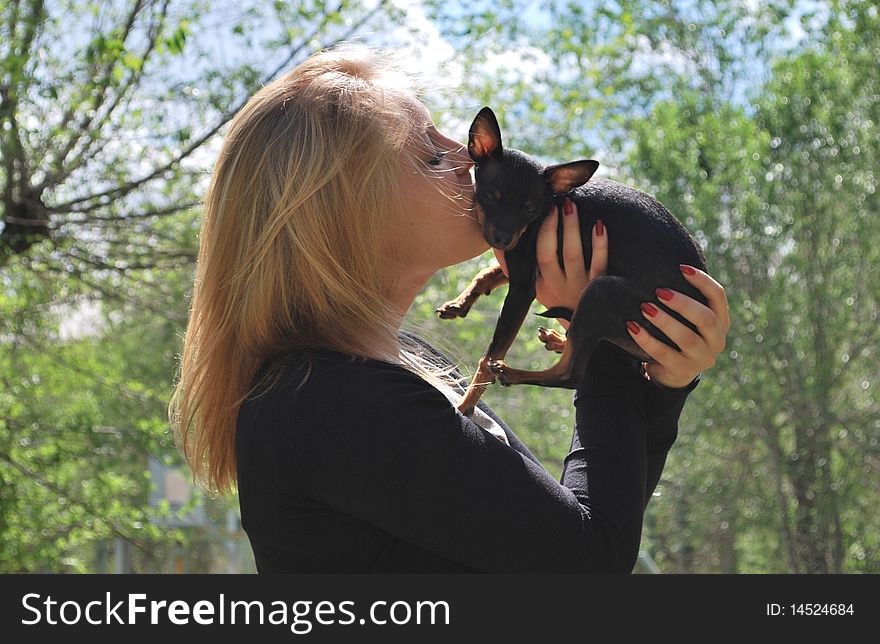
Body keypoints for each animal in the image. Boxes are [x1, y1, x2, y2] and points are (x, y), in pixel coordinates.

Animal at [440, 107, 708, 416]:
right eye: (490, 197)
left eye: (530, 210)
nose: (503, 239)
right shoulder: (523, 264)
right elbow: (487, 273)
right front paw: (459, 303)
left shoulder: (522, 286)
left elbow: (488, 356)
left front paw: (467, 404)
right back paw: (558, 340)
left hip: (600, 292)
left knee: (569, 374)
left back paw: (511, 372)